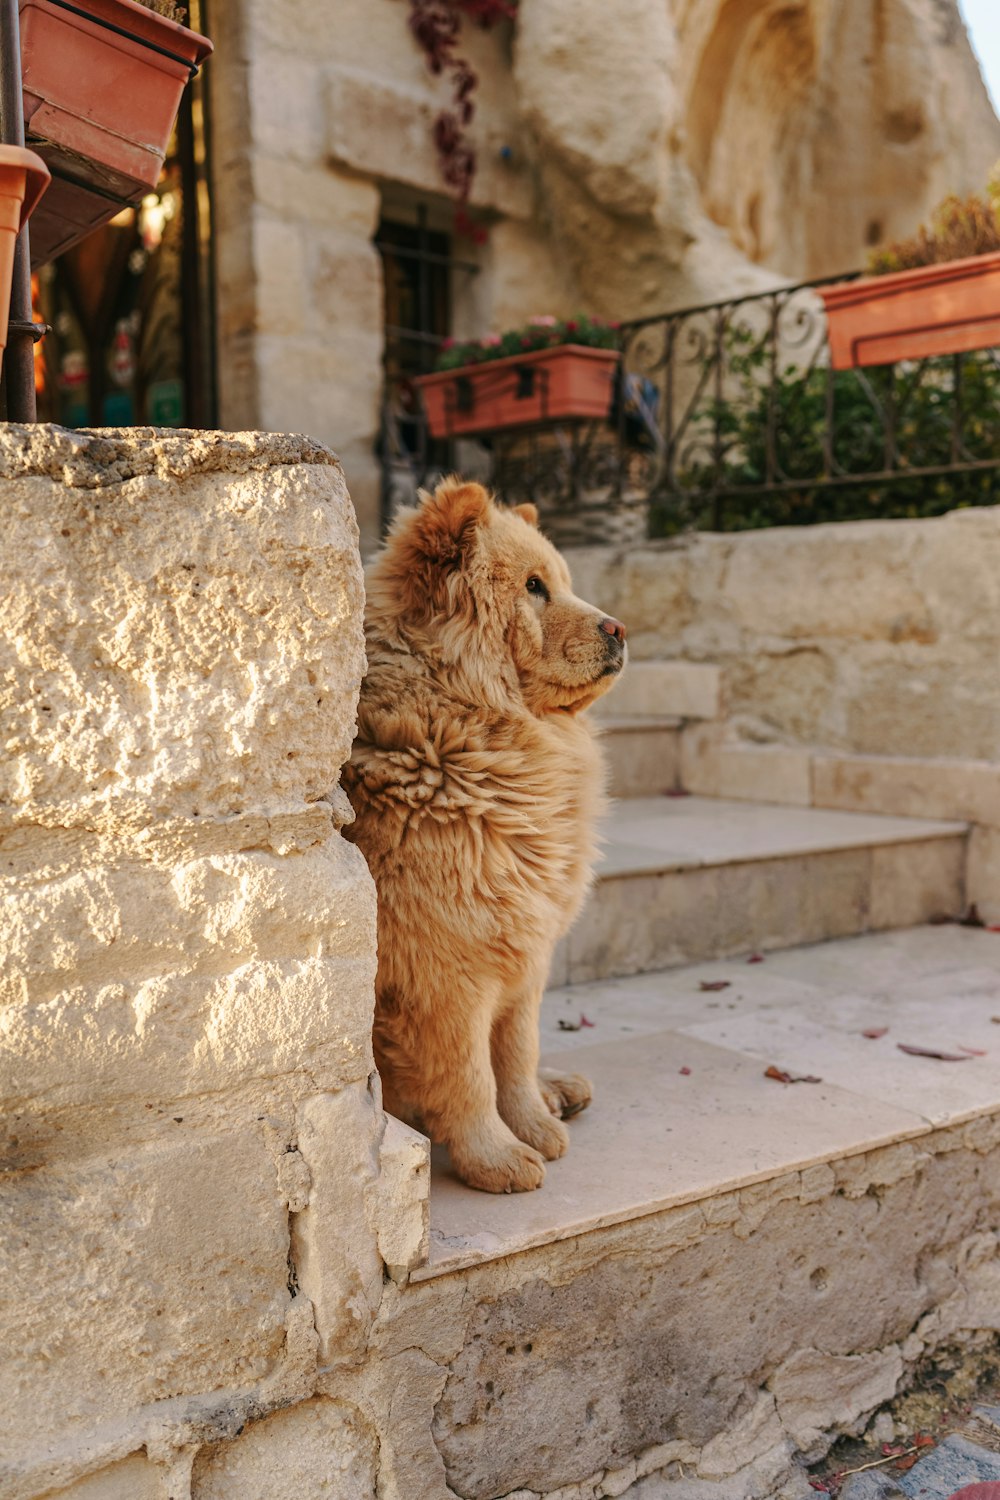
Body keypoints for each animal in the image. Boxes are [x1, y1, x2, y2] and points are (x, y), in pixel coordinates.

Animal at [344, 480, 626, 1194]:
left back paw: (560, 1091)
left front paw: (534, 1124)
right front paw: (497, 1159)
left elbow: (517, 1054)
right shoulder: (448, 970)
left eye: (563, 582)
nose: (618, 629)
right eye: (534, 587)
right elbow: (469, 1073)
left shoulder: (526, 949)